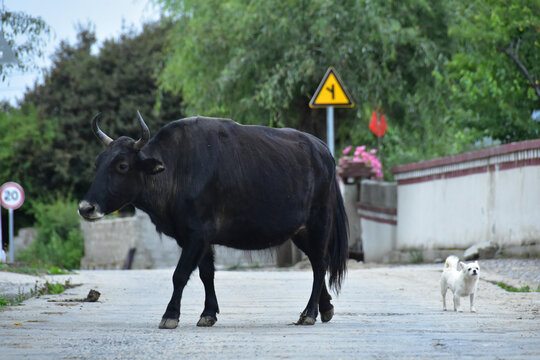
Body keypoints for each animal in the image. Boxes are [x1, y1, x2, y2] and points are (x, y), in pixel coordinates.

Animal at [79, 113, 350, 330]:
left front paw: (170, 315)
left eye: (122, 165)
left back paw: (309, 313)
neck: (177, 169)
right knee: (317, 262)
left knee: (320, 264)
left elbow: (180, 274)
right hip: (300, 232)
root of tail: (323, 151)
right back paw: (325, 308)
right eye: (98, 163)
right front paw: (208, 314)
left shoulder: (197, 234)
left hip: (319, 223)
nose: (86, 208)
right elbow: (206, 273)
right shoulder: (197, 238)